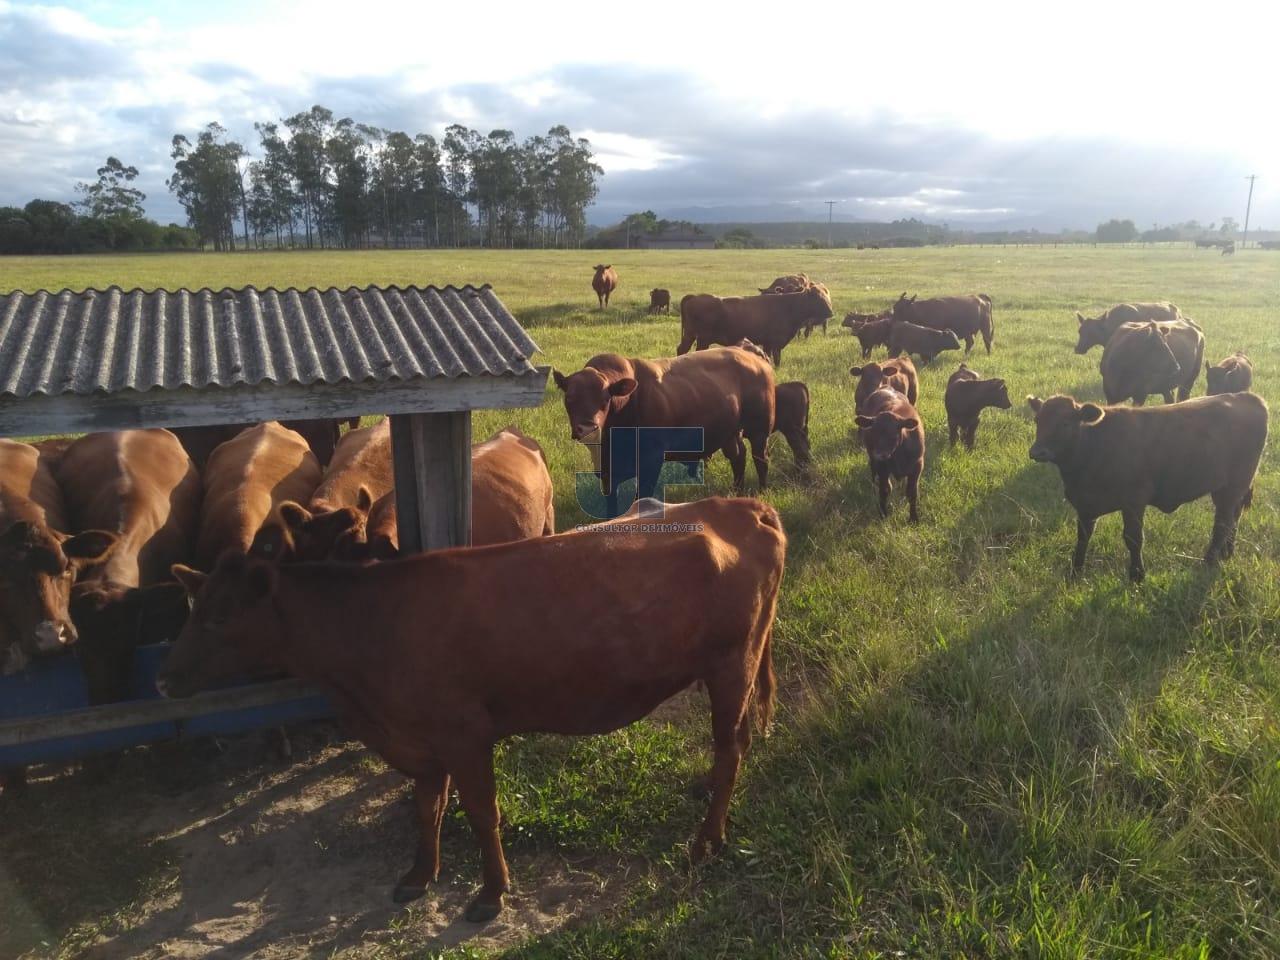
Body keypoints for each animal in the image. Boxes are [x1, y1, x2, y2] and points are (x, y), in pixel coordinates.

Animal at [154, 496, 783, 926]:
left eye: (220, 618)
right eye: (191, 609)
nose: (163, 678)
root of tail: (737, 504)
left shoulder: (464, 734)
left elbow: (482, 813)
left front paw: (491, 893)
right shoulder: (419, 738)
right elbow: (426, 808)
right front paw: (418, 875)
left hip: (731, 665)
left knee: (731, 747)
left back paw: (706, 841)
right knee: (742, 739)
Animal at [550, 350, 768, 506]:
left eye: (605, 400)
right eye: (570, 398)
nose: (588, 428)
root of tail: (755, 358)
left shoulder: (651, 459)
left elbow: (641, 497)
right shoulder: (607, 471)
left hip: (759, 431)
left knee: (760, 459)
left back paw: (762, 491)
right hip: (730, 433)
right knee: (738, 456)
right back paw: (737, 492)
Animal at [675, 285, 834, 368]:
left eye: (827, 295)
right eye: (817, 297)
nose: (830, 312)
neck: (789, 305)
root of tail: (695, 296)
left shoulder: (767, 344)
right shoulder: (775, 344)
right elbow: (777, 359)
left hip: (689, 335)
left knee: (682, 349)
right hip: (703, 339)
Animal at [855, 386, 926, 522]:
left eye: (894, 435)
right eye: (873, 433)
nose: (880, 455)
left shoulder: (917, 466)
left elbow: (912, 492)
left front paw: (913, 518)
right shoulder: (882, 467)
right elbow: (885, 489)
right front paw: (883, 514)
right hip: (872, 460)